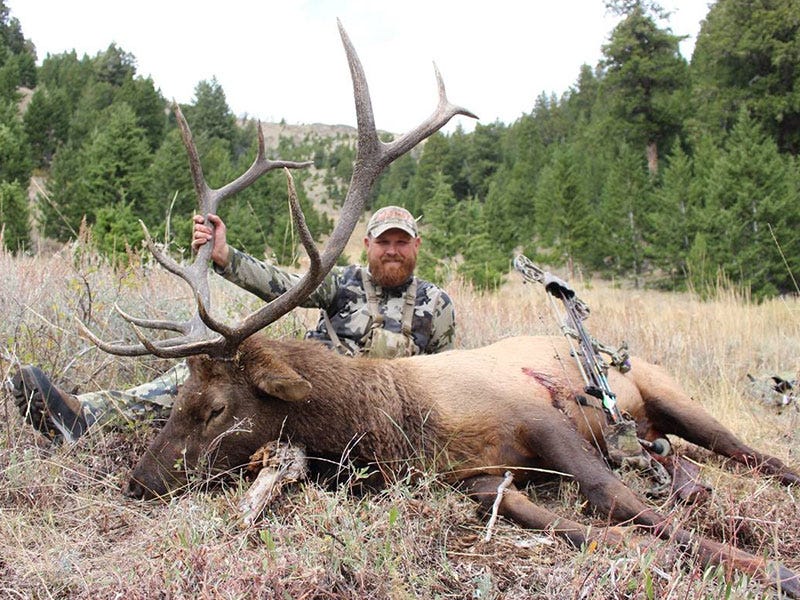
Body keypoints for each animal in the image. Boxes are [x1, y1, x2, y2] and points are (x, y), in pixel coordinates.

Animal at [82, 22, 800, 598]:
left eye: (215, 409)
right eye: (179, 401)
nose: (138, 481)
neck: (401, 426)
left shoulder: (543, 418)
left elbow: (612, 493)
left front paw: (766, 566)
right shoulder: (479, 480)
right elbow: (590, 529)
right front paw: (665, 552)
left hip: (668, 391)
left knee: (752, 454)